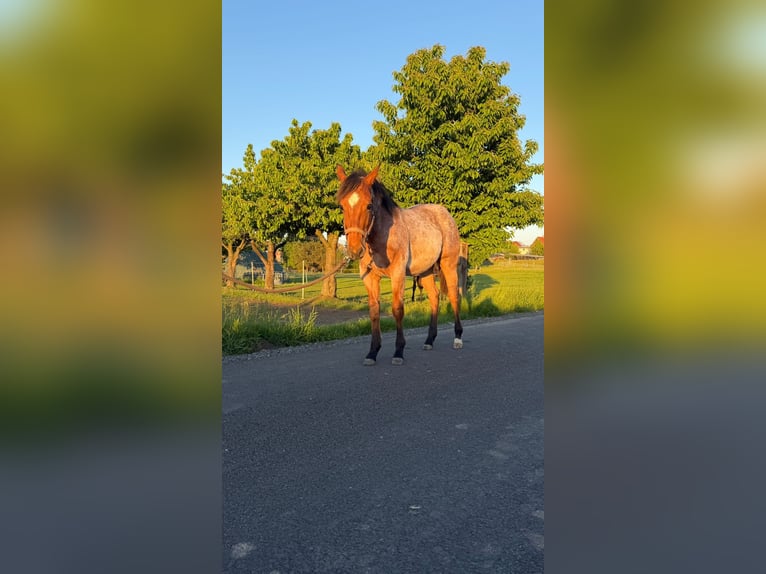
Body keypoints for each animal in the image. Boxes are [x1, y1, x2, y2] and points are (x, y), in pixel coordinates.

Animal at [336, 164, 463, 365]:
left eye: (369, 205)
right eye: (342, 206)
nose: (355, 250)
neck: (382, 237)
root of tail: (445, 213)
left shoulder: (398, 274)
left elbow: (397, 309)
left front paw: (398, 351)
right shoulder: (370, 278)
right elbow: (374, 311)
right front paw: (372, 352)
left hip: (448, 265)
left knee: (453, 295)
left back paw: (457, 338)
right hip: (425, 271)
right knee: (434, 297)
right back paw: (429, 340)